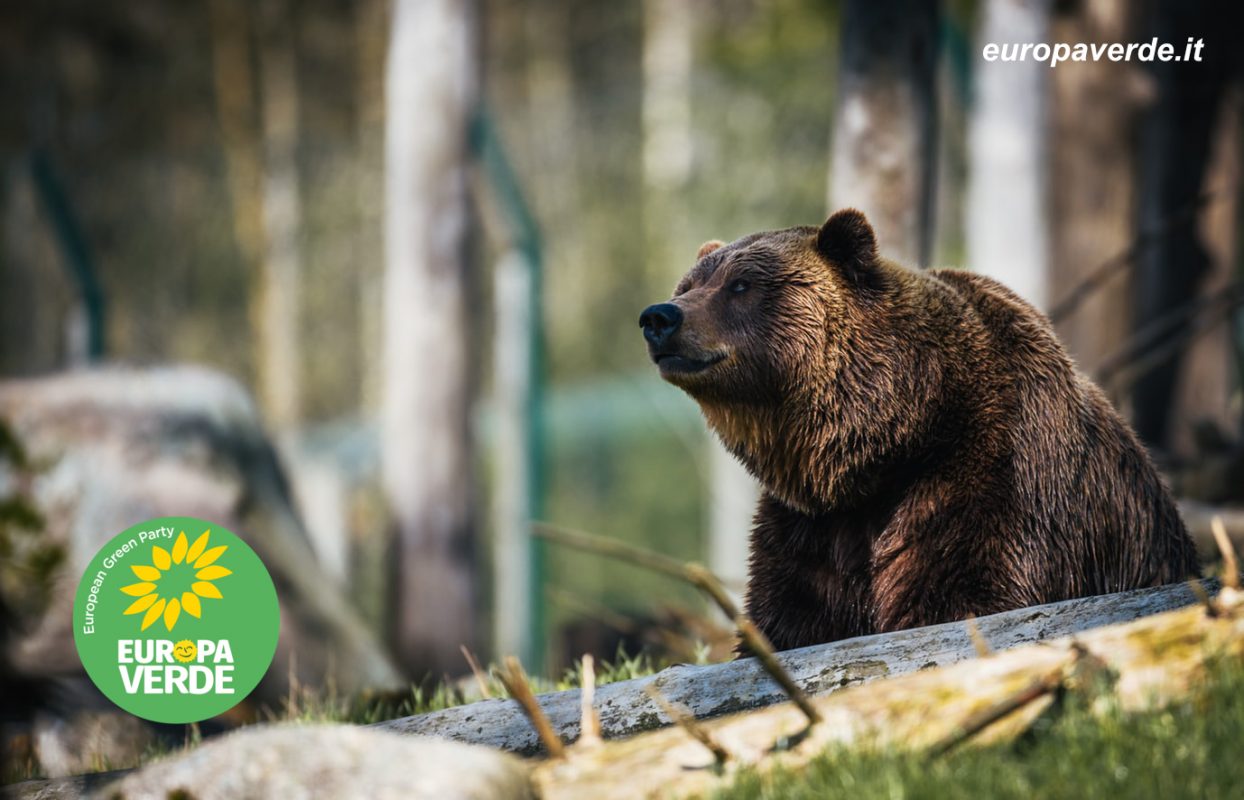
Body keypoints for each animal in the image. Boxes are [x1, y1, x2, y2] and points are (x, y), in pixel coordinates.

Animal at [638, 208, 1200, 652]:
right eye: (688, 286)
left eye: (741, 285)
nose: (659, 316)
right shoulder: (812, 528)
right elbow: (791, 618)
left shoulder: (991, 477)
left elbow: (963, 594)